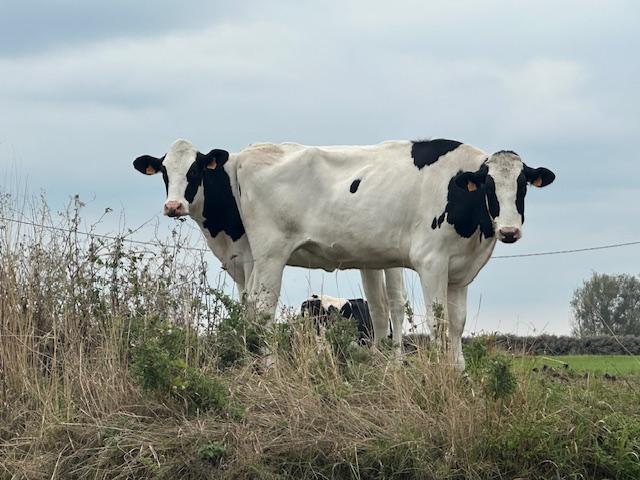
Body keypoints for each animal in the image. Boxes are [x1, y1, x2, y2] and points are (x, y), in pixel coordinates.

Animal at [133, 139, 408, 348]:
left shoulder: (250, 258)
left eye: (194, 170)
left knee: (395, 304)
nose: (173, 206)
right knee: (378, 306)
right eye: (165, 172)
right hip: (370, 259)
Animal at [230, 139, 555, 368]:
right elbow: (438, 322)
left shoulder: (460, 273)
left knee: (249, 306)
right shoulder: (431, 262)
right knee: (263, 309)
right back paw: (269, 367)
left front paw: (458, 373)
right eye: (488, 185)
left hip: (255, 260)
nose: (509, 231)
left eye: (523, 185)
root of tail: (251, 151)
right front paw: (441, 374)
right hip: (272, 254)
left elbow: (457, 323)